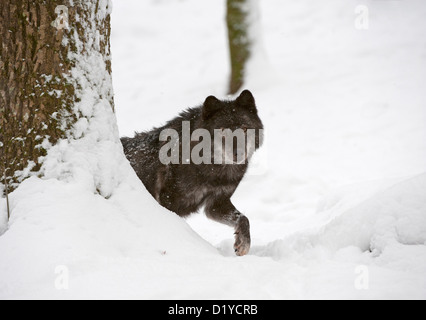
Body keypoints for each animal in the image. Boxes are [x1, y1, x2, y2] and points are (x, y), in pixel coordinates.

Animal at [120, 91, 264, 256]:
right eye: (222, 130)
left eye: (245, 128)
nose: (238, 153)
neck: (214, 171)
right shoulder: (168, 201)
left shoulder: (216, 204)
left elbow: (244, 218)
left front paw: (243, 244)